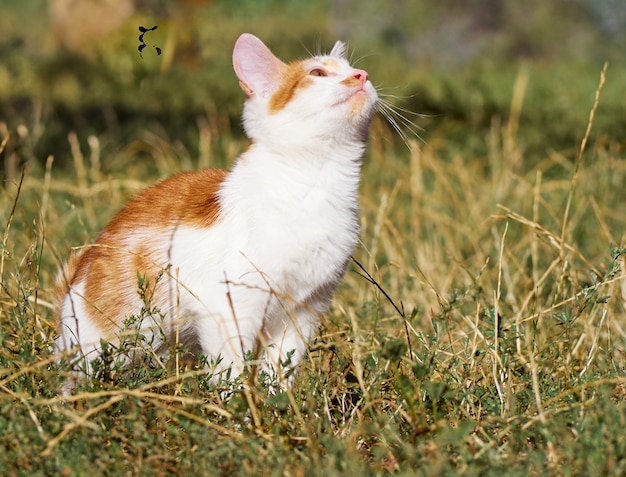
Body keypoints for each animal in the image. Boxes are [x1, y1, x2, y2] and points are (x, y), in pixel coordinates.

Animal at [54, 32, 376, 390]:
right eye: (318, 73)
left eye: (354, 70)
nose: (362, 75)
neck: (316, 178)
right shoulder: (227, 306)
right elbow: (231, 372)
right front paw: (241, 405)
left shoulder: (305, 308)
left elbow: (281, 369)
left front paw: (277, 402)